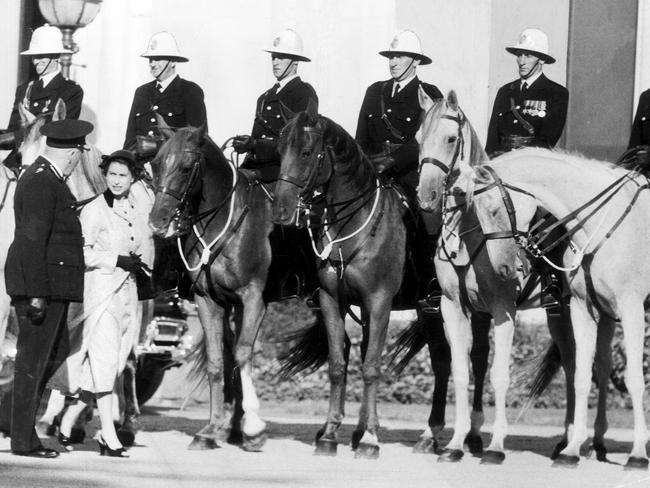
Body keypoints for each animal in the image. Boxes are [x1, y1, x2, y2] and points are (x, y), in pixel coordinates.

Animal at [270, 105, 484, 460]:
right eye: (279, 149)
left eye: (306, 152)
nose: (281, 210)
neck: (351, 228)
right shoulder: (332, 301)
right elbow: (339, 364)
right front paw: (332, 433)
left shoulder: (380, 302)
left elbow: (371, 365)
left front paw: (370, 438)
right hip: (429, 311)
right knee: (441, 363)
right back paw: (429, 435)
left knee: (478, 362)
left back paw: (473, 437)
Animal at [412, 88, 612, 466]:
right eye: (418, 138)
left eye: (450, 139)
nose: (426, 196)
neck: (471, 230)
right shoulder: (453, 309)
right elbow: (460, 372)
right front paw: (456, 443)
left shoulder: (503, 309)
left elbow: (498, 375)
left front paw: (495, 445)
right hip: (560, 313)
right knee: (571, 364)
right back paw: (566, 441)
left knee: (601, 365)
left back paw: (595, 443)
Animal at [460, 148, 648, 468]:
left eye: (494, 210)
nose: (503, 268)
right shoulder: (584, 310)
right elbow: (582, 377)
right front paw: (572, 450)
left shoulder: (632, 309)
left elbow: (634, 380)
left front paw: (637, 454)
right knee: (602, 365)